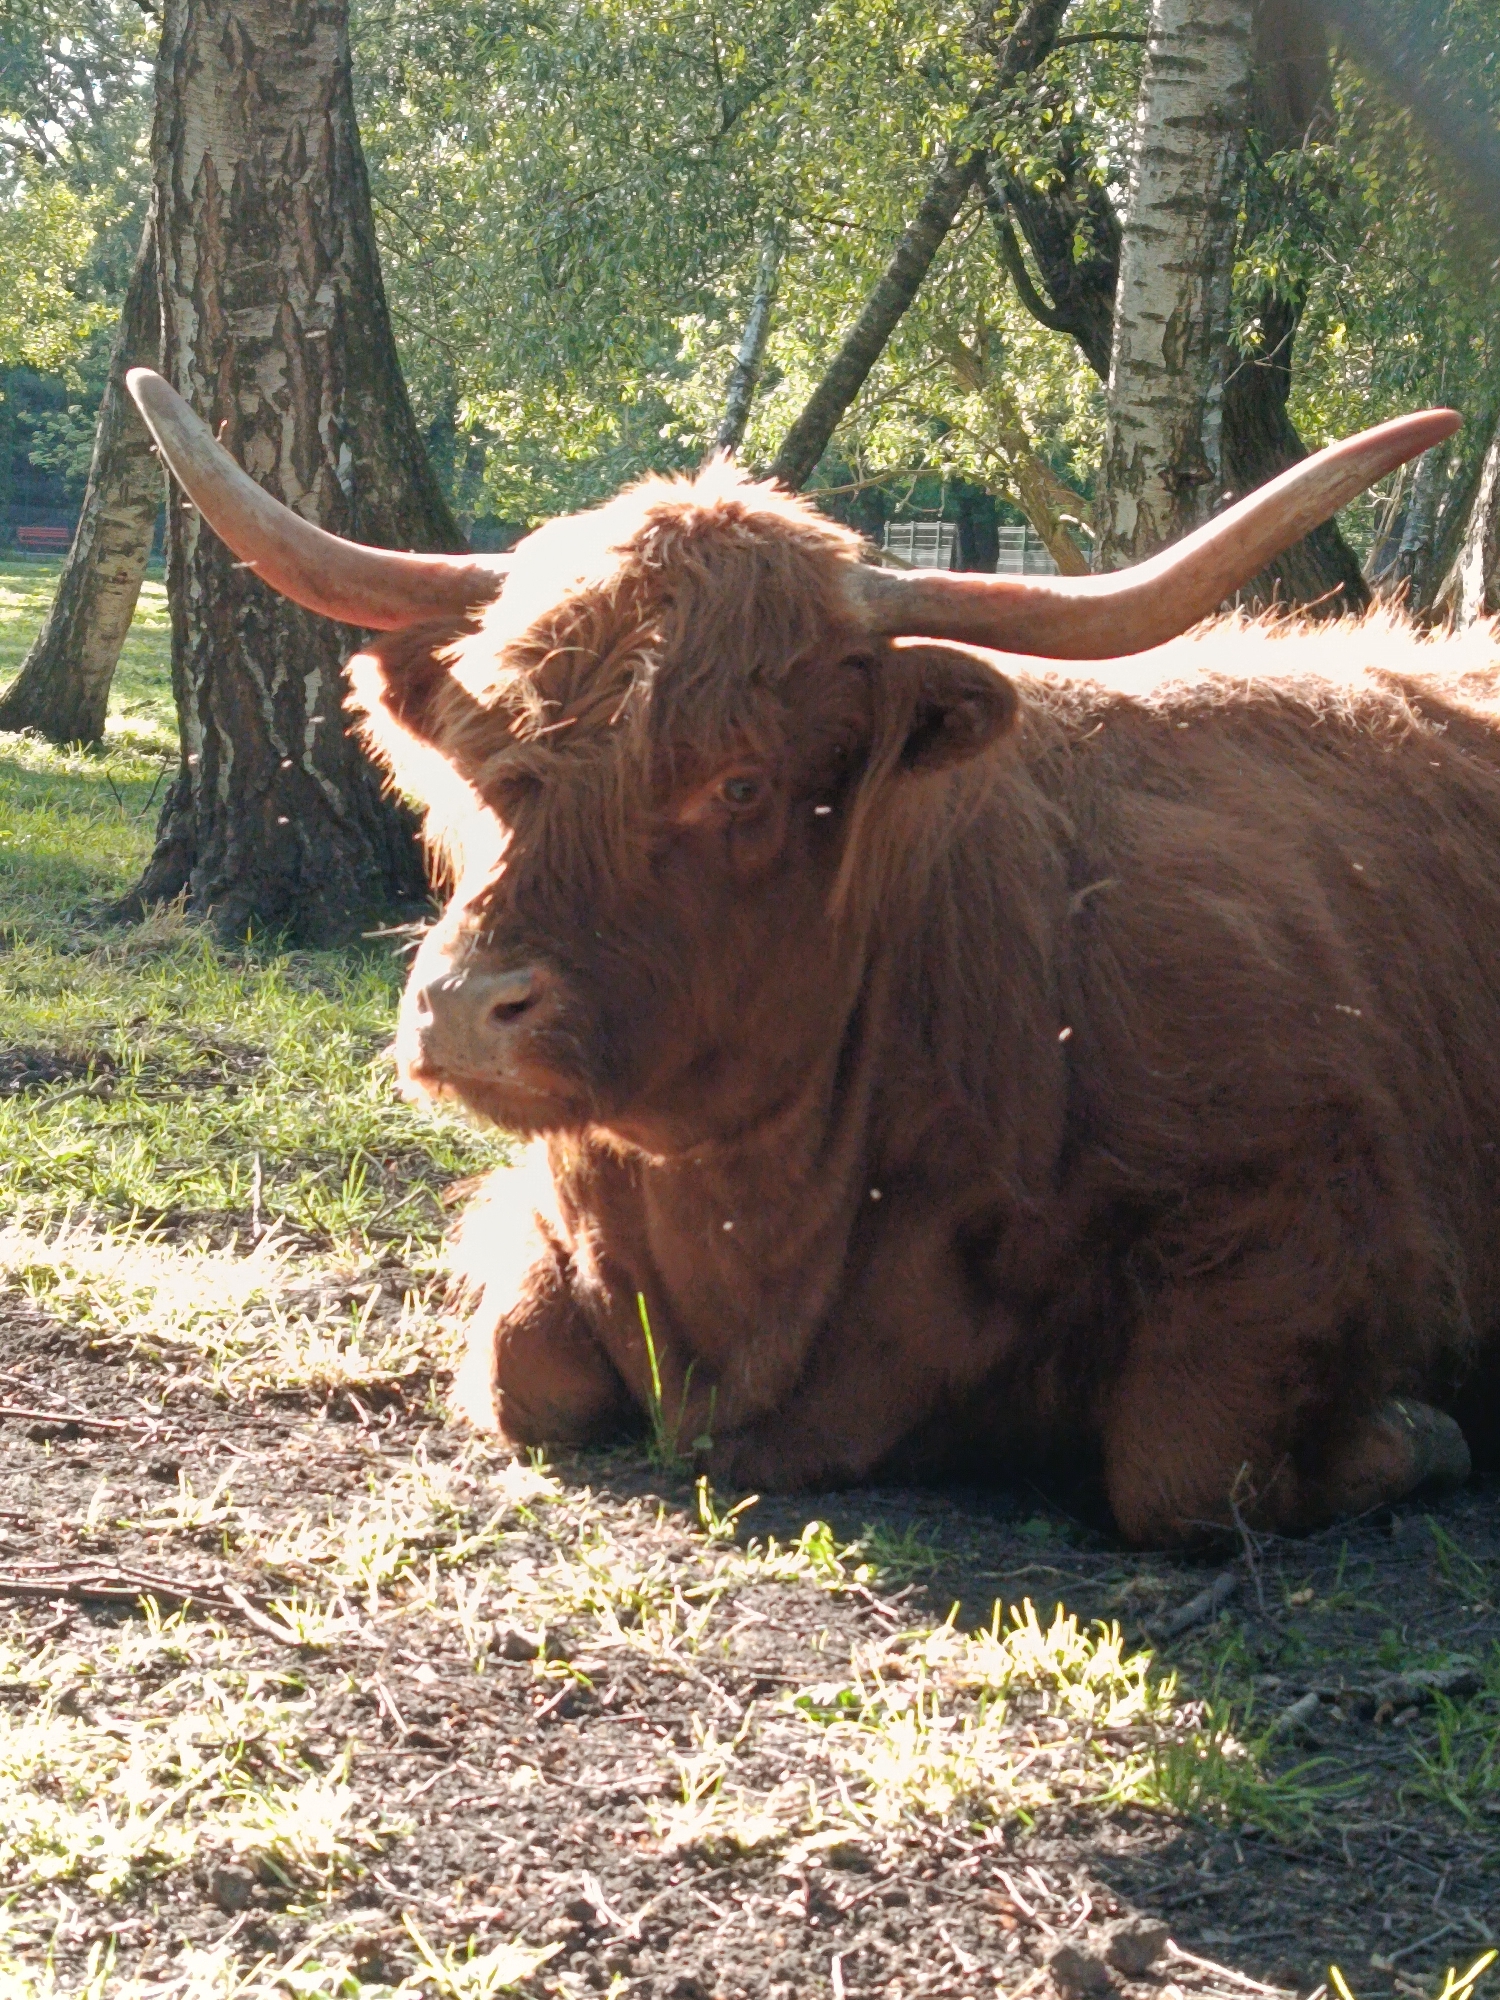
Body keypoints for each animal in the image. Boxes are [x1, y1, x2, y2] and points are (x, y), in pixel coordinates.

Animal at [129, 366, 1498, 1546]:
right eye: (487, 752)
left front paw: (1417, 1432)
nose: (467, 1008)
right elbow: (524, 1370)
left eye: (741, 781)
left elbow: (1183, 1464)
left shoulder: (1317, 1213)